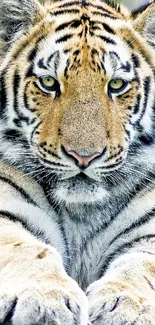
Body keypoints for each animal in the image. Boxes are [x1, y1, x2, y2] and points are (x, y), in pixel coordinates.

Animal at [0, 0, 155, 322]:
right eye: (49, 82)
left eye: (117, 85)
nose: (84, 156)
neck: (81, 214)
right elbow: (27, 250)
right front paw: (45, 300)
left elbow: (142, 266)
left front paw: (127, 306)